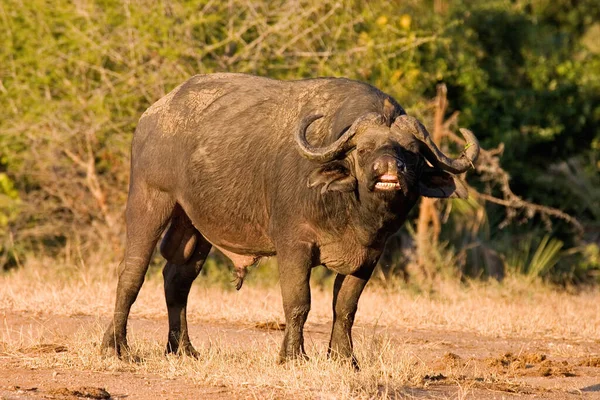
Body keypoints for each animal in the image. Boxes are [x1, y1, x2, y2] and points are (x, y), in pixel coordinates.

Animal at [102, 72, 478, 366]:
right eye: (362, 149)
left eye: (411, 152)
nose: (389, 168)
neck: (354, 213)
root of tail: (152, 115)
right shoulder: (294, 246)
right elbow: (299, 302)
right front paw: (293, 356)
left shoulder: (369, 257)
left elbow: (346, 307)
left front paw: (344, 358)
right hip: (150, 199)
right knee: (132, 272)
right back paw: (117, 346)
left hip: (193, 223)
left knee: (177, 277)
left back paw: (182, 349)